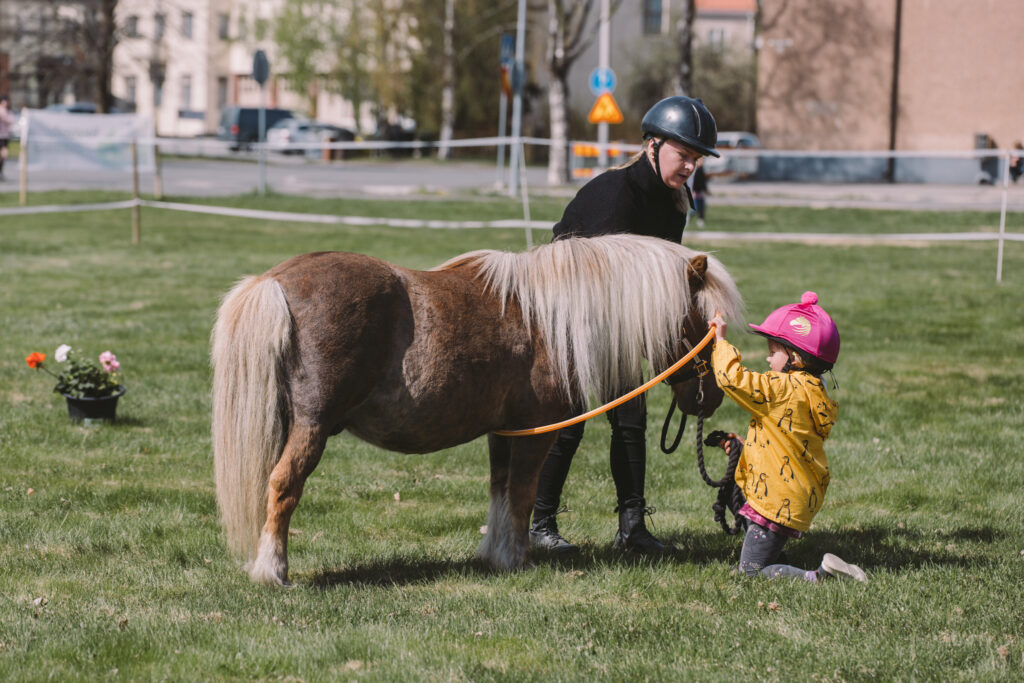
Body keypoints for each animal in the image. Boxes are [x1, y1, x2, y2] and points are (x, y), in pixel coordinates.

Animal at [214, 233, 745, 581]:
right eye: (704, 322)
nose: (712, 396)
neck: (549, 318)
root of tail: (275, 281)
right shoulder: (537, 431)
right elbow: (524, 494)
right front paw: (519, 560)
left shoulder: (504, 432)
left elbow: (500, 491)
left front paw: (495, 555)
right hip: (313, 426)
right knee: (283, 486)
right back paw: (273, 571)